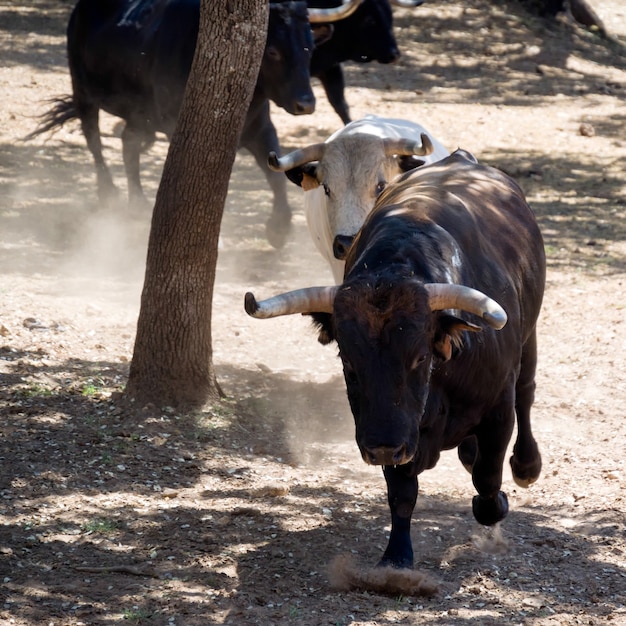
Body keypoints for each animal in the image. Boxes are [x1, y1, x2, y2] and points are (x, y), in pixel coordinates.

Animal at [28, 0, 360, 249]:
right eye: (274, 51)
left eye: (309, 48)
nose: (306, 103)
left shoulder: (261, 129)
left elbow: (275, 173)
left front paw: (278, 227)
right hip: (83, 90)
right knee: (94, 137)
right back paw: (108, 192)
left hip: (140, 114)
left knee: (128, 143)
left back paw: (137, 203)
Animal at [246, 149, 544, 568]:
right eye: (348, 363)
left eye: (419, 358)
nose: (382, 447)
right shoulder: (390, 432)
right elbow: (402, 494)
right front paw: (397, 555)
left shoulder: (497, 408)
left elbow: (488, 480)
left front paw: (497, 501)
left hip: (529, 337)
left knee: (527, 393)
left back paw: (526, 464)